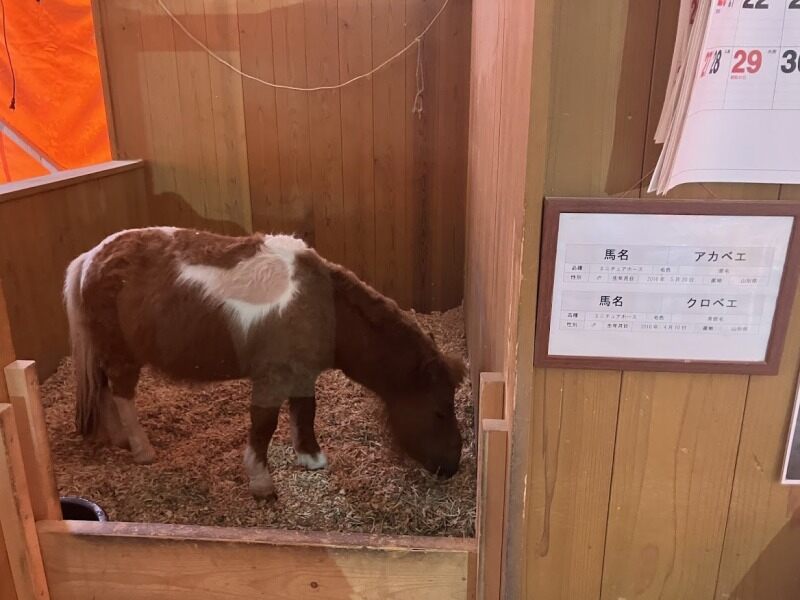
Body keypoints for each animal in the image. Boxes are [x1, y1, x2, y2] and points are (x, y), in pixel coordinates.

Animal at [63, 227, 465, 499]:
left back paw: (118, 439)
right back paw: (141, 449)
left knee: (103, 390)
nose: (452, 466)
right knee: (122, 395)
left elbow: (305, 412)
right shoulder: (271, 378)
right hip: (123, 356)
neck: (322, 306)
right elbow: (264, 426)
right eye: (440, 411)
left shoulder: (302, 376)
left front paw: (310, 456)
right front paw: (261, 482)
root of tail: (92, 257)